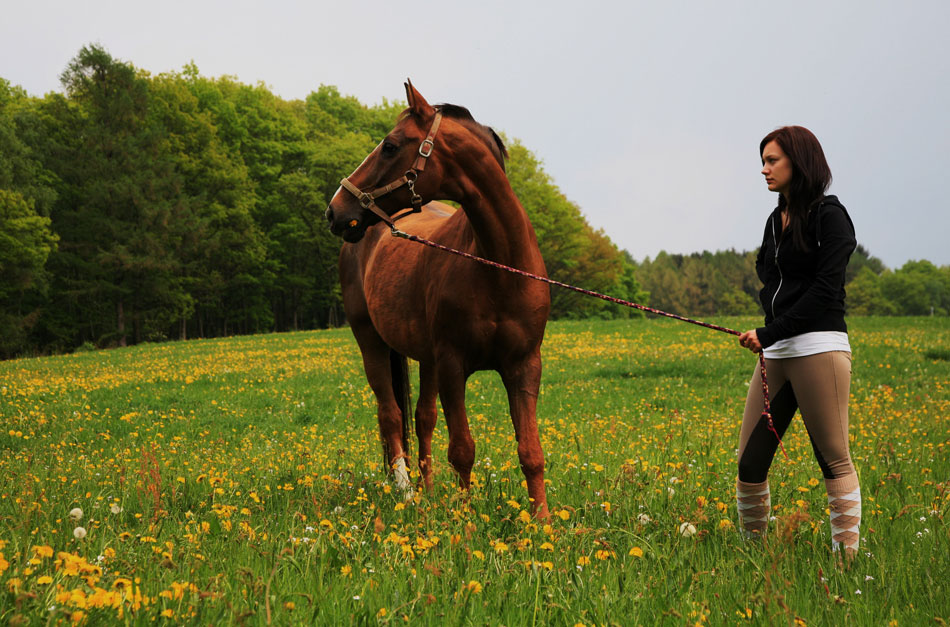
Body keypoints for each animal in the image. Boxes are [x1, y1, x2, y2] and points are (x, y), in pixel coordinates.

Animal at [326, 81, 552, 516]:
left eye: (391, 146)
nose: (334, 210)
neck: (497, 266)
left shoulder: (523, 367)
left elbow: (531, 451)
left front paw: (544, 522)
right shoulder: (452, 365)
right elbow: (463, 449)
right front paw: (466, 521)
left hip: (424, 358)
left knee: (421, 418)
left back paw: (428, 493)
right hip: (371, 343)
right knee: (391, 415)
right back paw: (405, 492)